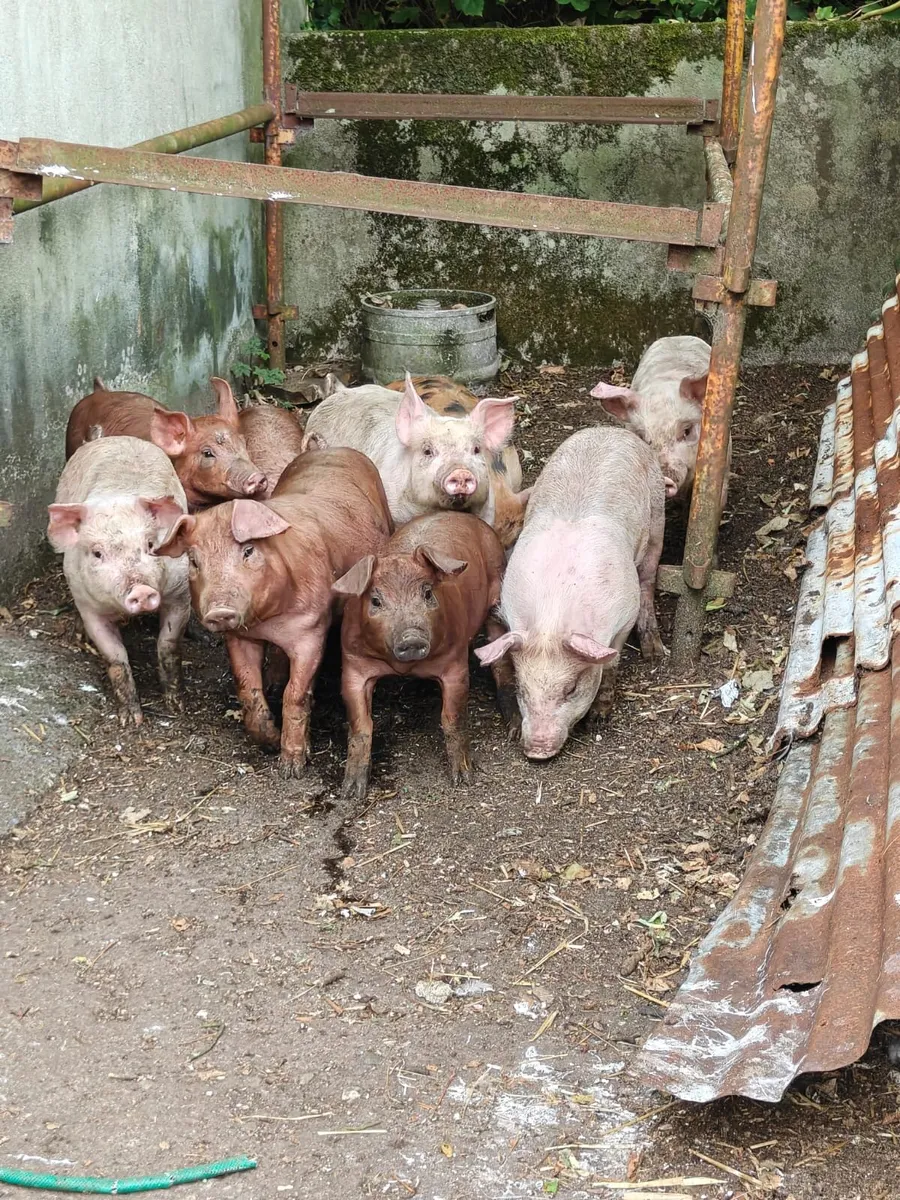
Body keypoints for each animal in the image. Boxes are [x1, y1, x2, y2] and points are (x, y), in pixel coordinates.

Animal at [47, 437, 190, 726]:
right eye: (97, 553)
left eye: (150, 545)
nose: (142, 590)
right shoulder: (89, 605)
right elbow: (115, 657)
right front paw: (131, 720)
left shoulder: (181, 591)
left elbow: (168, 644)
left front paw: (176, 706)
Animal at [155, 447, 393, 777]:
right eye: (193, 560)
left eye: (248, 550)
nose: (219, 611)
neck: (269, 620)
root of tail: (335, 448)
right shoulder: (239, 635)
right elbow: (248, 687)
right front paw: (268, 741)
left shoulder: (311, 631)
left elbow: (295, 693)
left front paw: (292, 769)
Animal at [334, 511, 506, 803]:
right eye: (376, 600)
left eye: (427, 593)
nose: (412, 637)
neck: (405, 668)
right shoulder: (353, 665)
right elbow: (361, 725)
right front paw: (351, 792)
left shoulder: (455, 663)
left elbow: (452, 718)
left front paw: (463, 779)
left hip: (497, 591)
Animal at [475, 426, 665, 761]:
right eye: (523, 689)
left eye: (571, 689)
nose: (537, 750)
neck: (553, 614)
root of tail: (611, 429)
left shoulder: (623, 614)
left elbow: (611, 662)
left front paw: (599, 718)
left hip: (657, 518)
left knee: (648, 578)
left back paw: (654, 651)